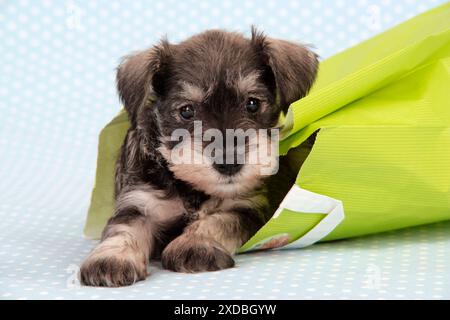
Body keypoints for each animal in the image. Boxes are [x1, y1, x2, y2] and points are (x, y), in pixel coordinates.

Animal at [81, 28, 320, 288]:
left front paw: (193, 245)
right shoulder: (139, 202)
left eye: (252, 104)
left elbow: (218, 221)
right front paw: (111, 258)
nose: (229, 163)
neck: (193, 188)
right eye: (186, 111)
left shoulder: (246, 206)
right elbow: (124, 228)